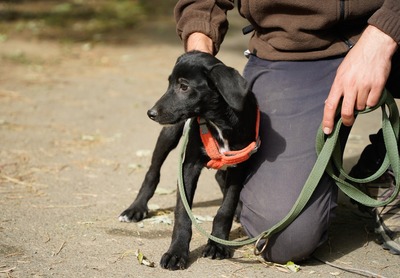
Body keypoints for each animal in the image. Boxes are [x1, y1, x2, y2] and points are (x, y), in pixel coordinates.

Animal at [120, 51, 258, 270]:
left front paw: (218, 243)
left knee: (220, 176)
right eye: (169, 83)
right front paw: (176, 252)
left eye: (184, 86)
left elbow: (226, 207)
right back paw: (136, 208)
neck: (217, 121)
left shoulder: (240, 164)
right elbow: (182, 213)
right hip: (169, 133)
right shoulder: (188, 166)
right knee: (152, 172)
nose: (151, 113)